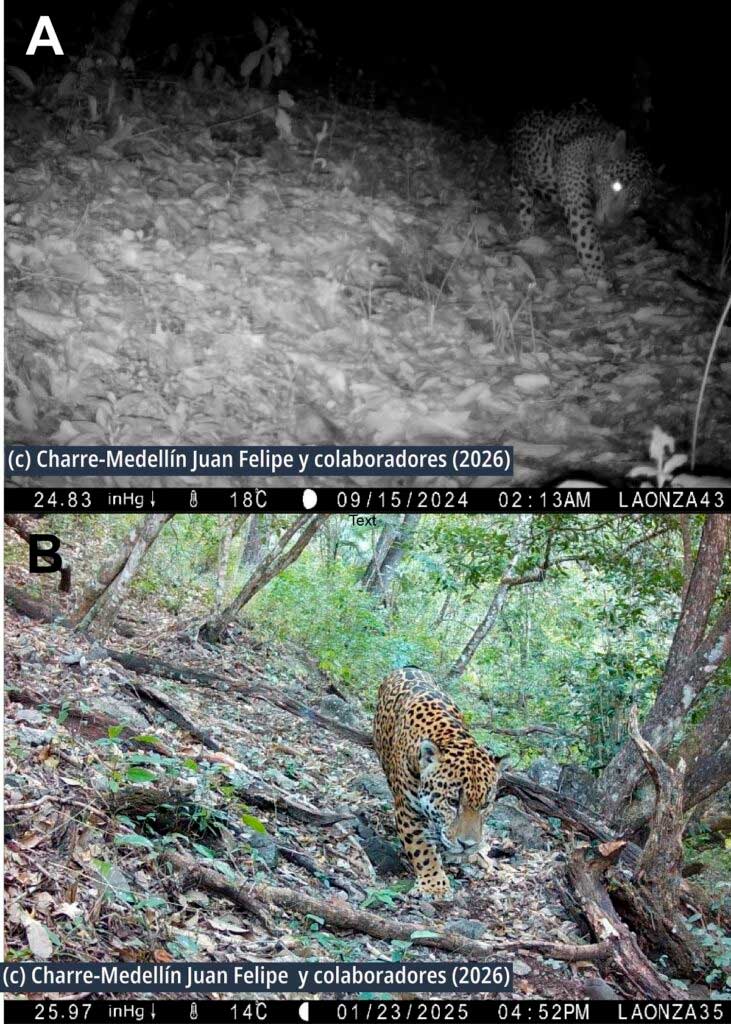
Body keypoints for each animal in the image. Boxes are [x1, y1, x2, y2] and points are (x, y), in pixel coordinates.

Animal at [372, 667, 502, 899]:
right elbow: (422, 849)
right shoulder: (408, 811)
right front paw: (434, 886)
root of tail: (407, 667)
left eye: (485, 806)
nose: (467, 845)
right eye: (452, 802)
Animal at [508, 102, 654, 284]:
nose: (611, 223)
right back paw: (527, 226)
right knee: (523, 198)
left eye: (635, 203)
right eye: (617, 185)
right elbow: (588, 238)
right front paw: (600, 276)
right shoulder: (577, 203)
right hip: (518, 173)